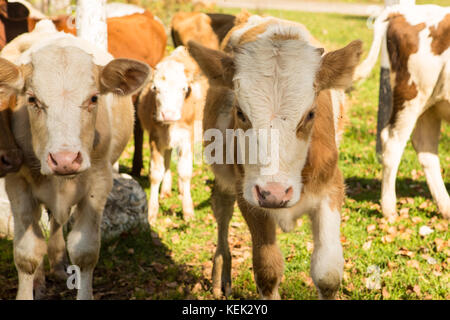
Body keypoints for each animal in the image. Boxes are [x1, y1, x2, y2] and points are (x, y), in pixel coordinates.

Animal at [138, 46, 207, 224]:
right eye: (155, 88)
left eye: (184, 88)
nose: (168, 114)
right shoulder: (155, 138)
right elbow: (156, 173)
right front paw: (152, 212)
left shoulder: (187, 138)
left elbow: (185, 172)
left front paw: (188, 211)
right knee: (168, 159)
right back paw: (166, 189)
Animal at [186, 14, 362, 300]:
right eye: (241, 112)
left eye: (310, 114)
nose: (275, 193)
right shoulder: (249, 196)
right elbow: (267, 271)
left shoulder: (331, 186)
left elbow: (327, 273)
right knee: (222, 209)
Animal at [354, 4, 448, 220]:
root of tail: (403, 10)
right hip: (411, 94)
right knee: (392, 143)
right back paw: (389, 210)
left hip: (431, 104)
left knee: (426, 148)